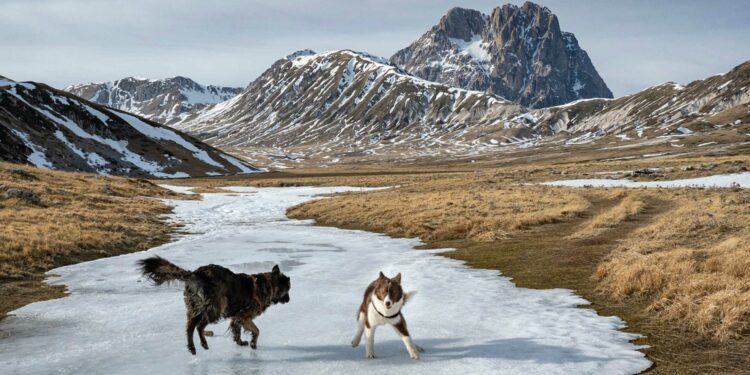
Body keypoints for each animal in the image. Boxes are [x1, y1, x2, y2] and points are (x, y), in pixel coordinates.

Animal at [140, 258, 292, 356]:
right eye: (287, 289)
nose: (289, 300)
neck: (267, 285)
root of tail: (195, 274)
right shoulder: (244, 315)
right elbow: (256, 330)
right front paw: (253, 343)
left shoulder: (237, 317)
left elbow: (236, 330)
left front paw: (240, 342)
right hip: (215, 308)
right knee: (200, 326)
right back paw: (203, 343)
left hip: (194, 307)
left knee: (190, 326)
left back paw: (192, 347)